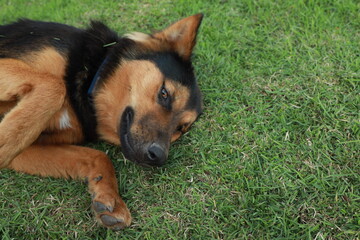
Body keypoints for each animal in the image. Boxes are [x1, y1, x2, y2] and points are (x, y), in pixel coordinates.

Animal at [0, 13, 202, 231]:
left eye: (181, 128)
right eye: (165, 93)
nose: (158, 156)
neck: (88, 86)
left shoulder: (28, 149)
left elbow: (99, 156)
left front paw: (111, 199)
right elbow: (54, 84)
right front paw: (6, 139)